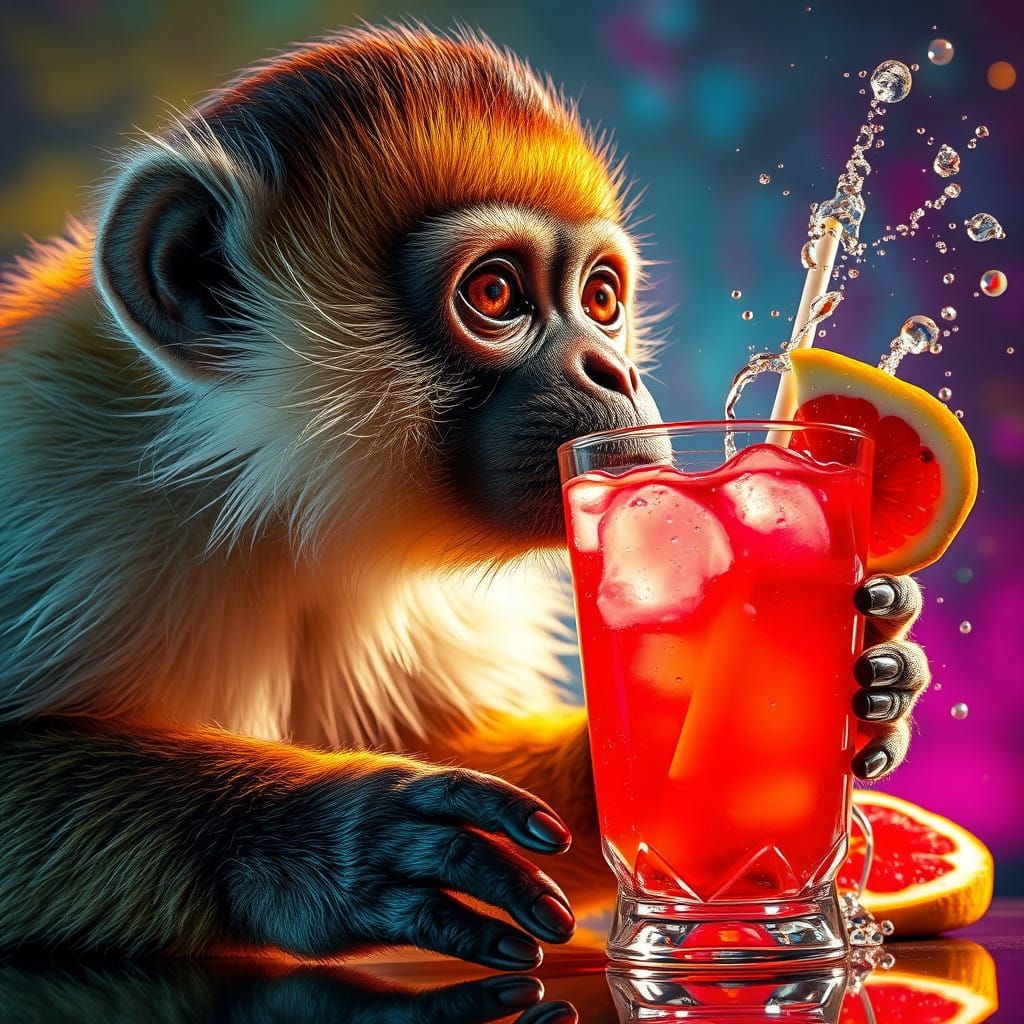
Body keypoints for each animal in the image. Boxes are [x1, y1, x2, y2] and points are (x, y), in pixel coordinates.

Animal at [0, 24, 932, 978]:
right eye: (494, 293)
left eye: (601, 298)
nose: (618, 372)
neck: (260, 503)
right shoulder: (65, 487)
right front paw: (317, 834)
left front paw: (866, 678)